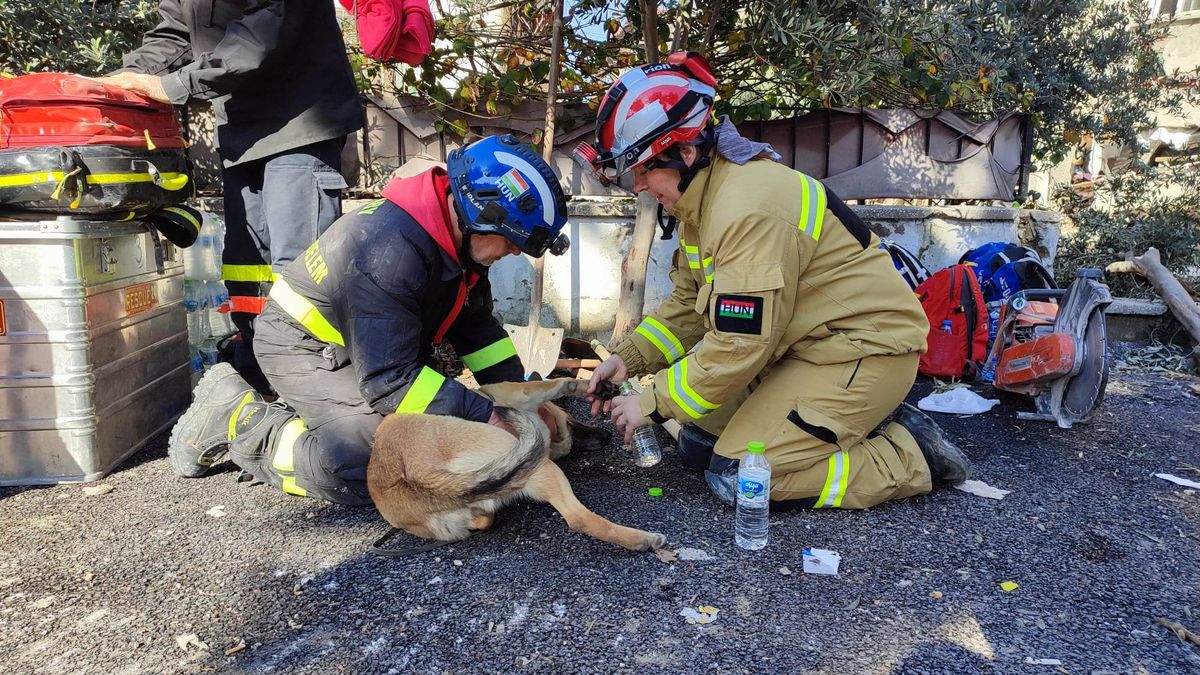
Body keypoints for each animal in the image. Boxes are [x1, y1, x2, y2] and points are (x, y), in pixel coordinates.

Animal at [367, 374, 667, 550]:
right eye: (571, 422)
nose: (607, 436)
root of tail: (419, 478)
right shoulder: (519, 394)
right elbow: (554, 384)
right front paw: (583, 386)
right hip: (541, 466)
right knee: (578, 519)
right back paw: (643, 539)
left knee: (484, 519)